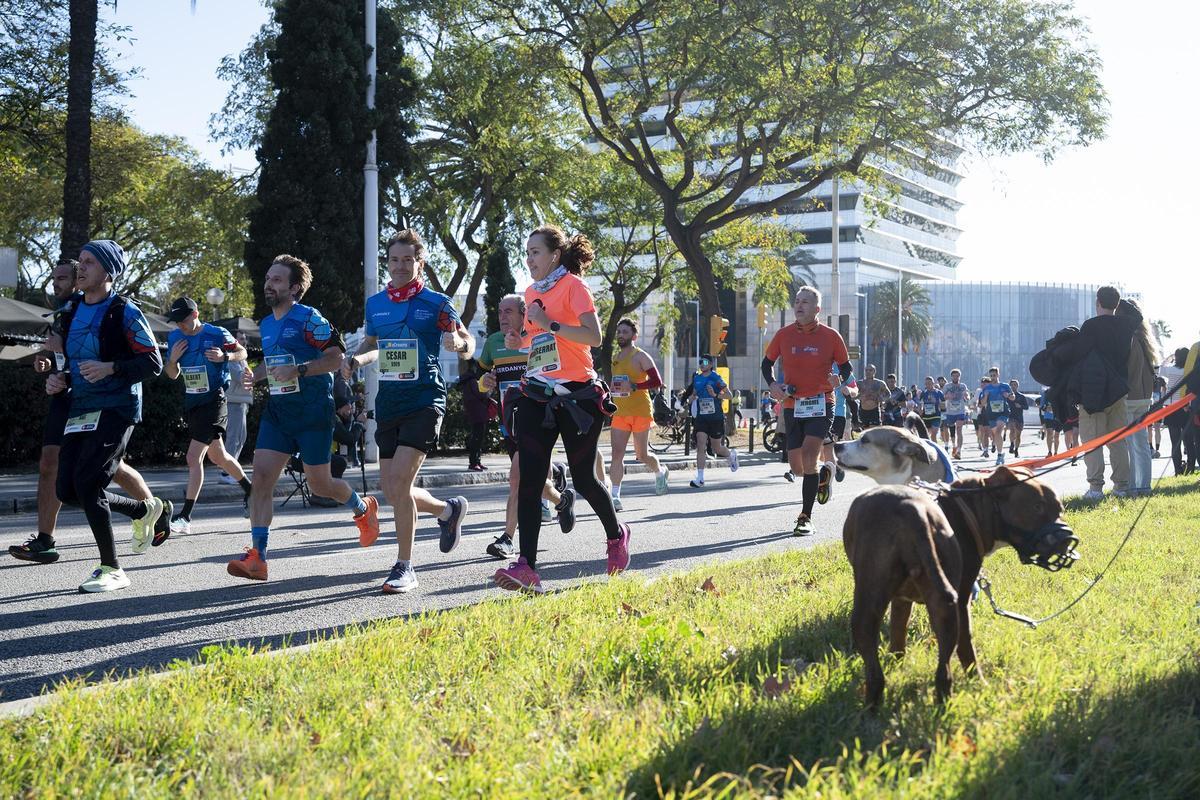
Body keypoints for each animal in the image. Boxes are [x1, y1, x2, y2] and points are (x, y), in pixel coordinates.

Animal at [844, 465, 1080, 710]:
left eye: (1060, 509)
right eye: (1037, 507)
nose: (1067, 540)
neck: (970, 509)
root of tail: (911, 509)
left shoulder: (901, 601)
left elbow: (898, 633)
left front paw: (897, 665)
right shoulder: (963, 599)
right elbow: (966, 644)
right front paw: (975, 680)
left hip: (871, 604)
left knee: (875, 660)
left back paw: (874, 704)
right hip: (949, 608)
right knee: (950, 661)